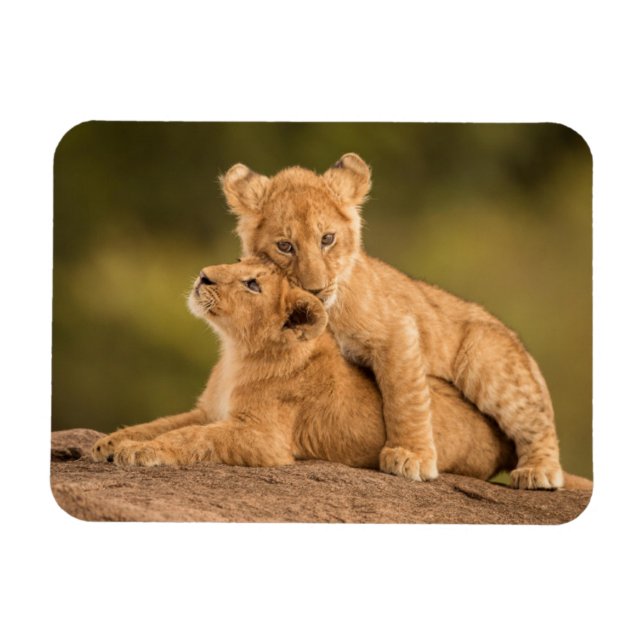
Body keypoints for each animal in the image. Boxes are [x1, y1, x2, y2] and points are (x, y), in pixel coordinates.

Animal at [91, 258, 591, 492]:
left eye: (252, 284)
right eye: (236, 261)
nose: (203, 275)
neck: (235, 352)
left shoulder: (263, 439)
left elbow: (191, 438)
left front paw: (141, 453)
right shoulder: (206, 409)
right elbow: (161, 424)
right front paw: (110, 443)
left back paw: (538, 472)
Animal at [220, 154, 568, 489]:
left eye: (327, 239)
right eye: (285, 246)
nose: (315, 289)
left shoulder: (397, 330)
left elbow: (404, 397)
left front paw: (411, 456)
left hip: (486, 357)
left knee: (537, 419)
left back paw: (539, 471)